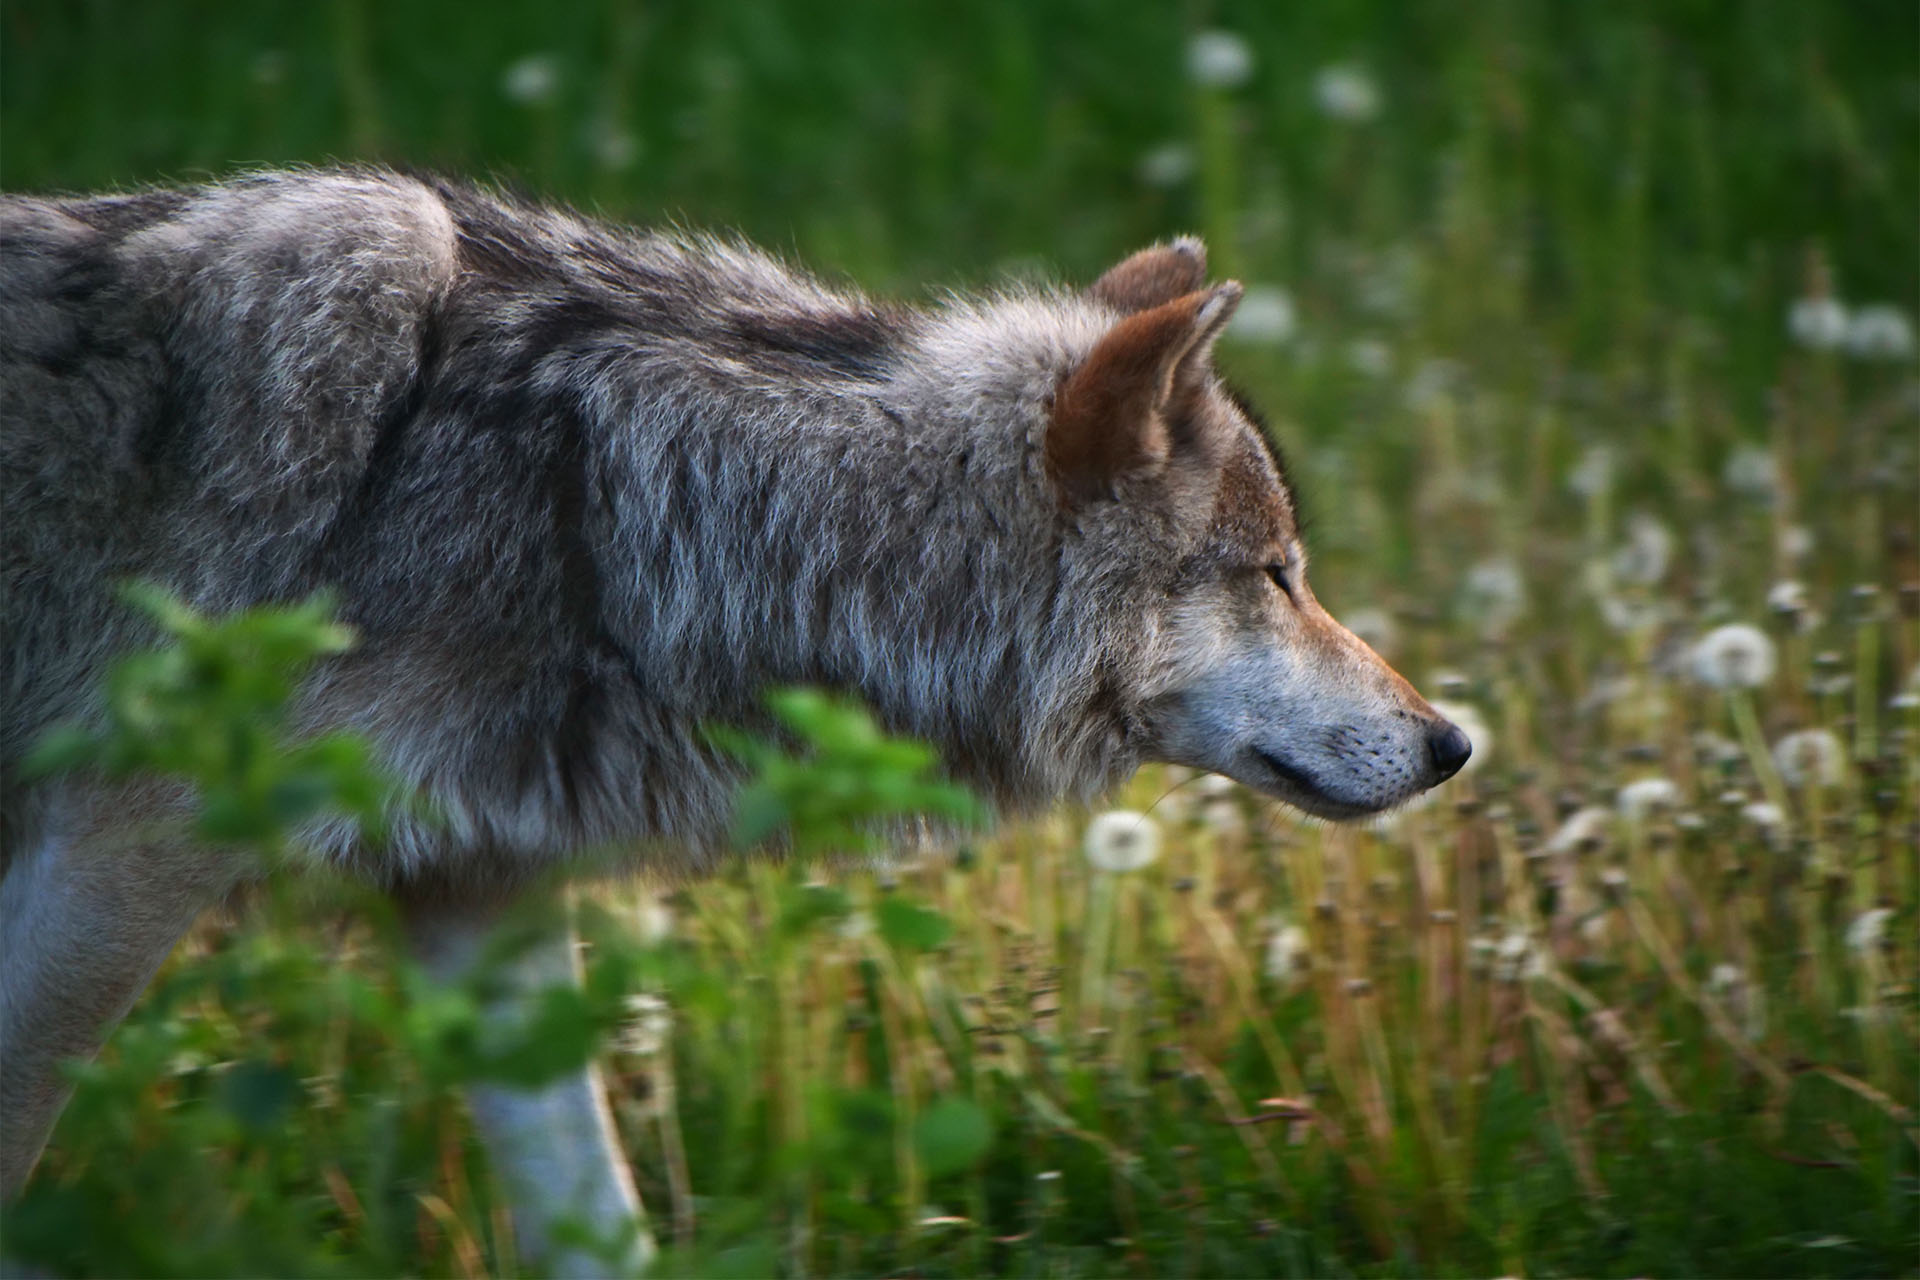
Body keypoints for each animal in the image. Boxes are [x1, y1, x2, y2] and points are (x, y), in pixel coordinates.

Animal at [0, 167, 1466, 1274]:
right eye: (1275, 575)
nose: (1452, 742)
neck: (608, 508)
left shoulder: (477, 896)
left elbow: (600, 1224)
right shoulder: (120, 863)